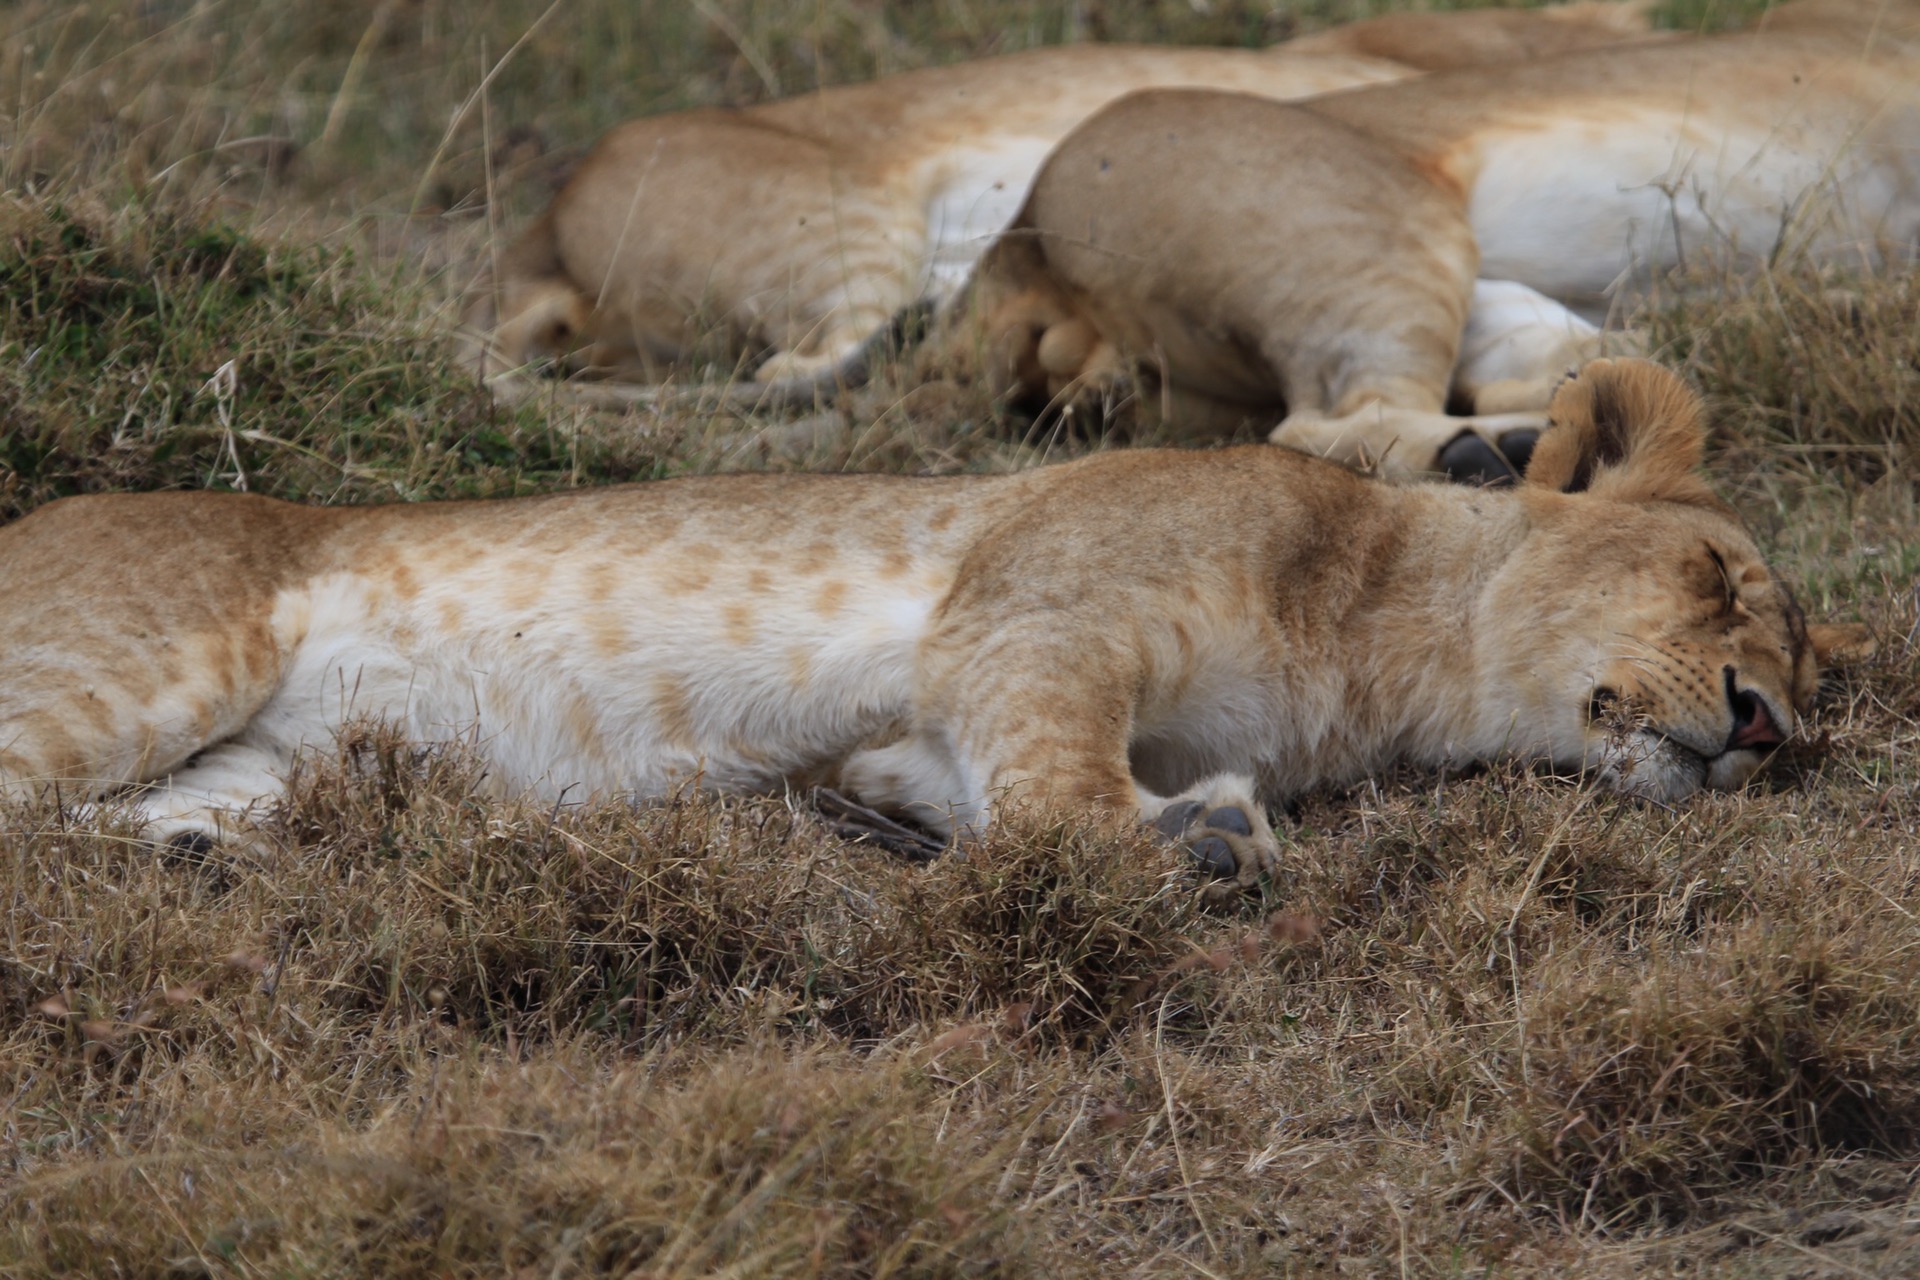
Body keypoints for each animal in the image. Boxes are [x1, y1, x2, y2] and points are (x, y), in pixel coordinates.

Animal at [0, 360, 1866, 890]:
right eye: (1723, 586)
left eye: (1808, 689)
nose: (1761, 725)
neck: (1385, 656)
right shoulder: (1026, 619)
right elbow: (1050, 792)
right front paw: (1188, 850)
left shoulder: (923, 731)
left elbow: (966, 791)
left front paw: (1190, 830)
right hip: (150, 661)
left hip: (262, 762)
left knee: (120, 831)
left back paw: (198, 871)